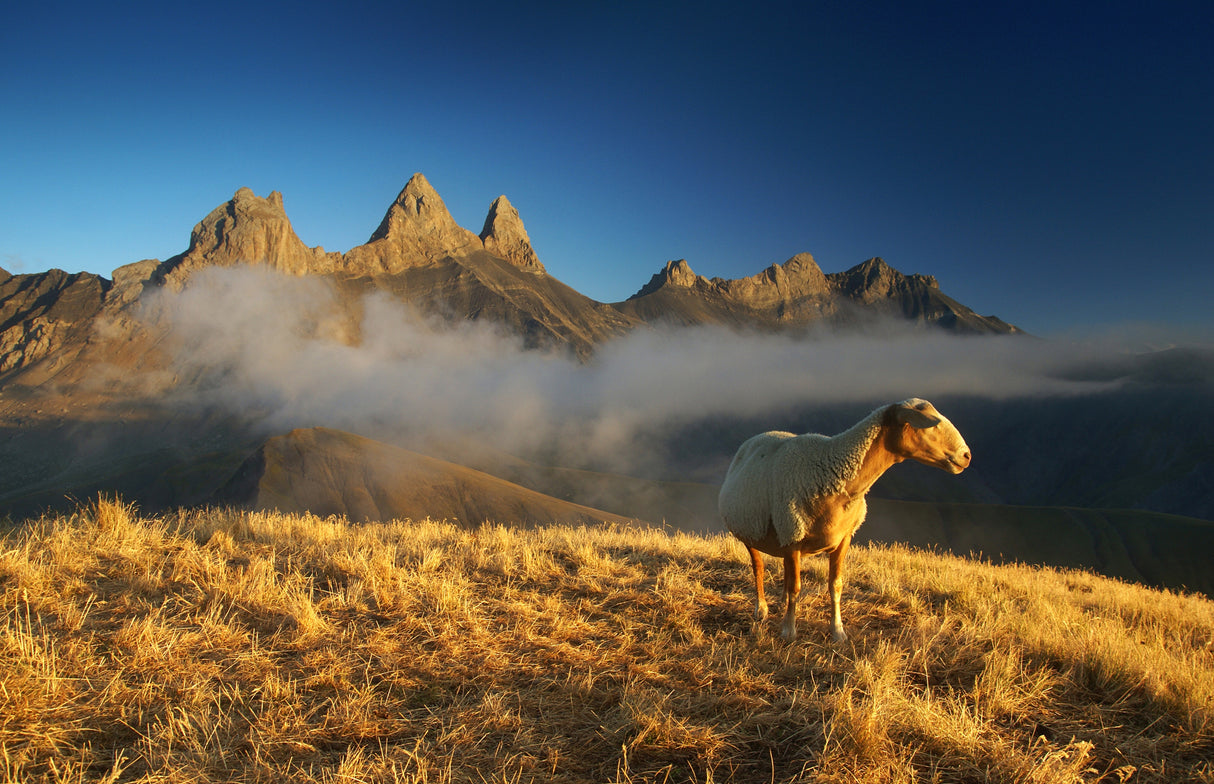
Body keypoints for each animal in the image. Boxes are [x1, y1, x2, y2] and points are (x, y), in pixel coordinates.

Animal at [718, 398, 970, 642]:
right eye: (931, 424)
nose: (966, 455)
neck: (832, 470)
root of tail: (757, 437)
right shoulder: (792, 535)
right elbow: (796, 588)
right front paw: (789, 631)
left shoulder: (843, 537)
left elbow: (835, 585)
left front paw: (838, 631)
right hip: (752, 530)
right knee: (759, 568)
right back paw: (761, 608)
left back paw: (780, 602)